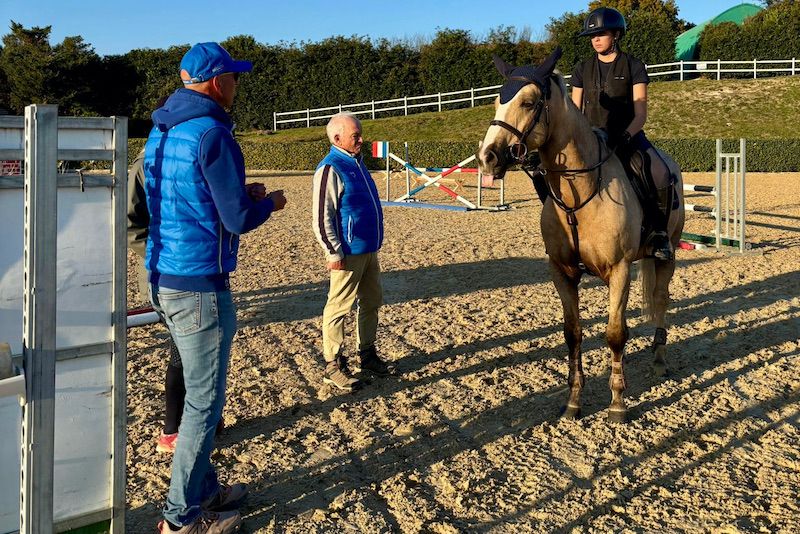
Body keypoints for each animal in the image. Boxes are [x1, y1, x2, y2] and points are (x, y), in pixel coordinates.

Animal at [477, 48, 685, 423]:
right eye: (497, 102)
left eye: (528, 102)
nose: (488, 158)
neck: (581, 192)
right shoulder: (562, 272)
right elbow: (572, 334)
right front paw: (573, 400)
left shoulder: (619, 270)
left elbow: (615, 334)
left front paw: (617, 403)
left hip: (669, 252)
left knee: (661, 299)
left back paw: (660, 359)